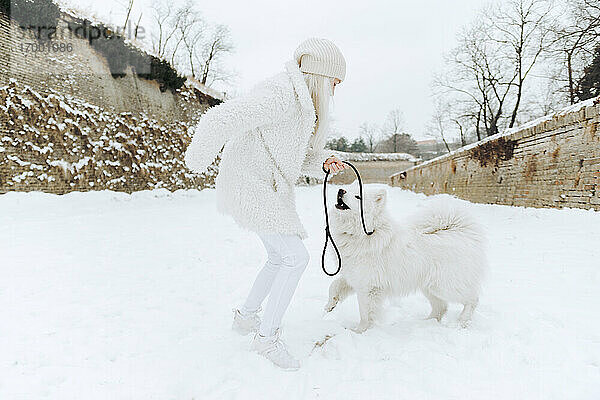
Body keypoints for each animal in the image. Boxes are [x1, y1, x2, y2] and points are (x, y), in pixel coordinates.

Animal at [324, 186, 488, 332]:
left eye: (358, 197)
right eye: (348, 189)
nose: (340, 190)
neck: (364, 233)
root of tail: (463, 232)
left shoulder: (369, 286)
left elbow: (365, 313)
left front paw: (359, 331)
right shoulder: (354, 276)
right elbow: (334, 285)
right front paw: (330, 305)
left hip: (444, 286)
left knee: (472, 299)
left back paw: (462, 322)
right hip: (429, 287)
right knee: (441, 307)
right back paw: (426, 323)